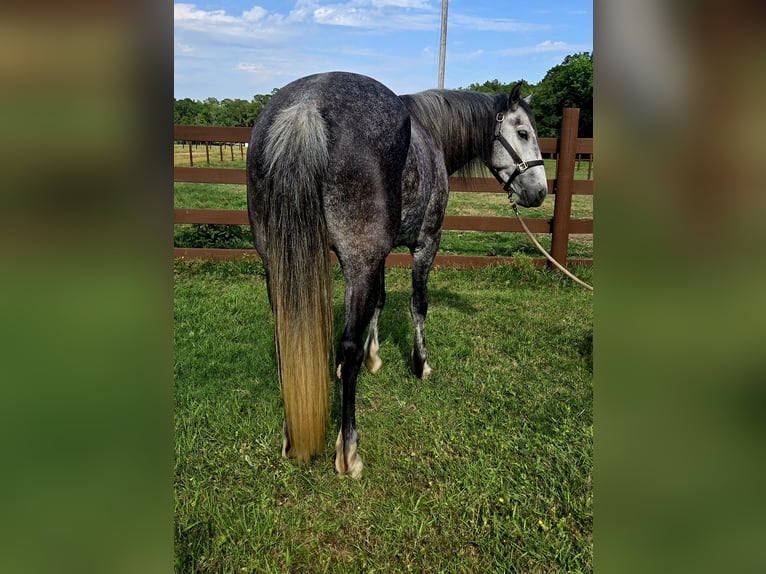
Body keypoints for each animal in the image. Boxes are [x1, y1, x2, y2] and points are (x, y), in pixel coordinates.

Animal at [246, 71, 547, 477]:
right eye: (523, 132)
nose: (540, 192)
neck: (430, 134)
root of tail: (305, 106)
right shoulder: (425, 242)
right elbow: (418, 305)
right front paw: (420, 364)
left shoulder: (379, 256)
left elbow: (379, 302)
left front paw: (373, 357)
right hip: (358, 260)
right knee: (347, 345)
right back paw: (348, 450)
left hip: (277, 262)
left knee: (287, 338)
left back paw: (292, 435)